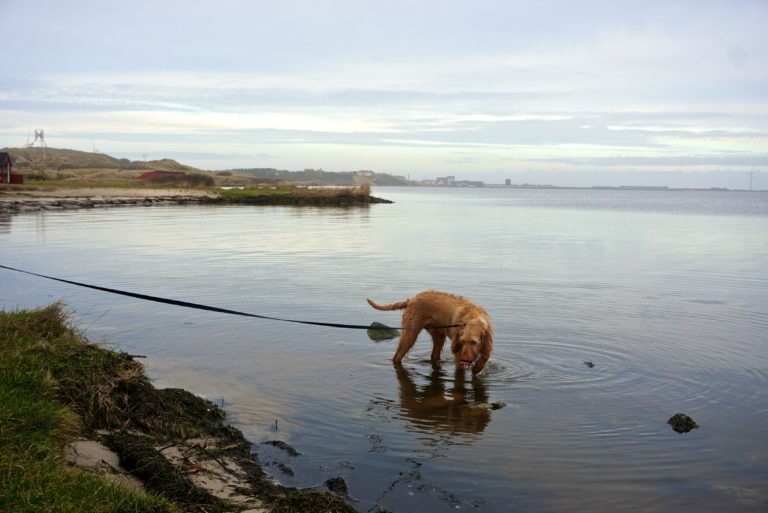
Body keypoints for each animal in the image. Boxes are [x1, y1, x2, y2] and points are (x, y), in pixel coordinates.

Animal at [364, 290, 492, 374]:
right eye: (462, 341)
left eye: (474, 342)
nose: (464, 359)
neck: (473, 317)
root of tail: (411, 300)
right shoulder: (457, 350)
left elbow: (485, 356)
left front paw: (477, 368)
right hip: (410, 334)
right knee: (397, 356)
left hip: (438, 335)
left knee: (434, 354)